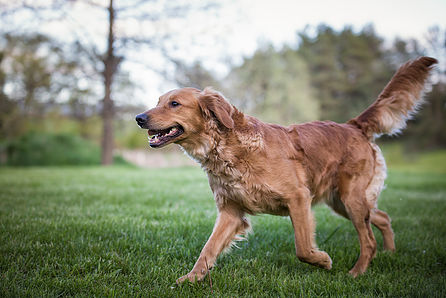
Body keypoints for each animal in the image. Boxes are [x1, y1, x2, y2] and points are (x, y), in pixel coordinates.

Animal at [135, 57, 436, 282]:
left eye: (175, 103)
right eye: (158, 101)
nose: (139, 117)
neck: (230, 149)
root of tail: (353, 124)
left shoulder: (299, 198)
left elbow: (302, 248)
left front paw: (323, 261)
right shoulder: (231, 212)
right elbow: (207, 250)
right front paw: (191, 279)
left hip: (350, 198)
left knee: (369, 240)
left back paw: (357, 273)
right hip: (341, 201)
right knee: (382, 217)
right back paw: (390, 252)